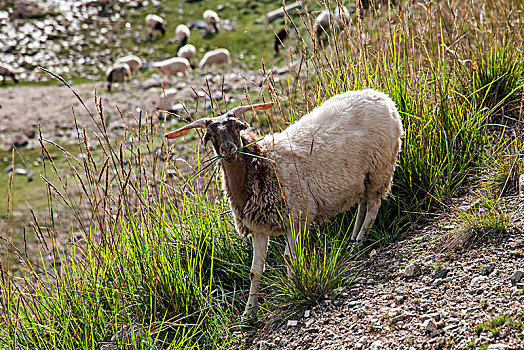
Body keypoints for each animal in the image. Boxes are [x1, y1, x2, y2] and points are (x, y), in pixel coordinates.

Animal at [166, 88, 404, 318]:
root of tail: (383, 98)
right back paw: (352, 240)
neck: (261, 166)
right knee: (363, 204)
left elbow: (290, 259)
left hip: (380, 167)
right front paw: (248, 313)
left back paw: (358, 242)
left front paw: (293, 290)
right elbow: (255, 271)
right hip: (364, 178)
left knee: (373, 206)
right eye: (210, 135)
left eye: (237, 127)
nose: (229, 149)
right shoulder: (259, 228)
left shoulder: (296, 217)